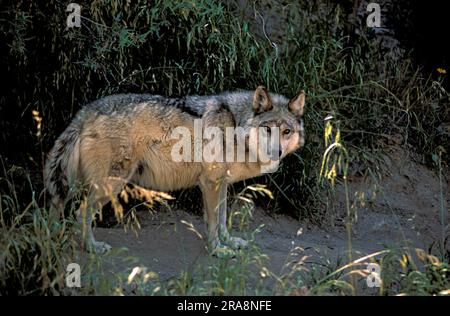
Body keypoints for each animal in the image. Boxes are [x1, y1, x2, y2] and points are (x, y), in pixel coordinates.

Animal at [44, 86, 306, 254]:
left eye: (286, 132)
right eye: (268, 129)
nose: (277, 152)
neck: (235, 126)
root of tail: (86, 111)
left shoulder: (220, 184)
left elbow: (222, 220)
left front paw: (228, 242)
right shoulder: (210, 184)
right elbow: (213, 223)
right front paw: (217, 250)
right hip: (111, 184)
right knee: (80, 213)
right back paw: (92, 248)